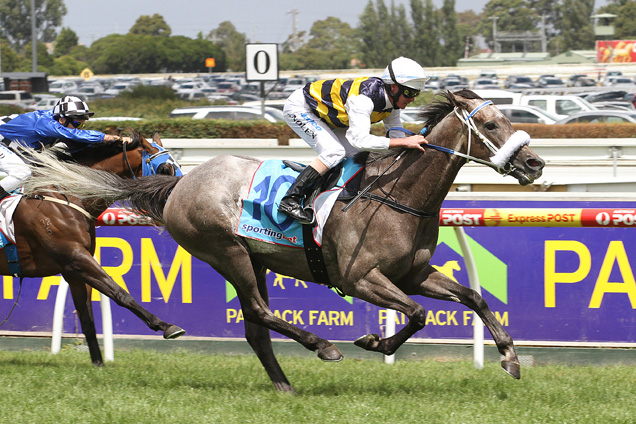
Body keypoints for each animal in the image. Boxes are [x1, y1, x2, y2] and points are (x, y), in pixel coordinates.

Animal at [4, 132, 184, 364]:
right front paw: (166, 326)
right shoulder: (77, 258)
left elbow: (86, 316)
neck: (67, 196)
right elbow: (120, 293)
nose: (179, 201)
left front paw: (98, 362)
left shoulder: (72, 269)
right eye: (165, 169)